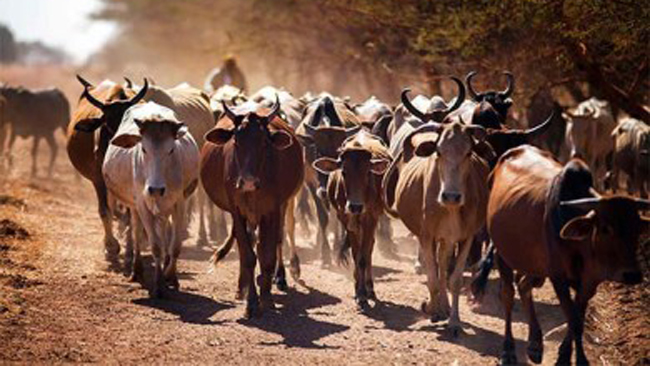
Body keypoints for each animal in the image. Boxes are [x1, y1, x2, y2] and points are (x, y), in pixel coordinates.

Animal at [102, 101, 199, 298]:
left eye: (171, 150)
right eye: (144, 149)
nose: (155, 189)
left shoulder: (179, 203)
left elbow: (174, 245)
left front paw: (171, 277)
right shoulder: (142, 204)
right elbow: (155, 246)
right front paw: (158, 285)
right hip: (135, 206)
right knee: (136, 232)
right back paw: (136, 270)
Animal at [199, 97, 302, 318]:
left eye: (264, 142)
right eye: (236, 141)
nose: (247, 182)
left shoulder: (272, 210)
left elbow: (267, 255)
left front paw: (267, 298)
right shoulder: (237, 211)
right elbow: (248, 256)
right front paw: (252, 302)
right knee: (244, 244)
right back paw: (242, 288)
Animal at [314, 130, 390, 310]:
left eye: (368, 172)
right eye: (343, 172)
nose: (355, 206)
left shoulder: (370, 217)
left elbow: (363, 257)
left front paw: (363, 294)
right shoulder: (346, 218)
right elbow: (356, 255)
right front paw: (358, 292)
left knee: (369, 249)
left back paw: (370, 288)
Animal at [382, 118, 488, 334]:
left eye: (468, 153)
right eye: (438, 152)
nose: (451, 196)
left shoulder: (466, 237)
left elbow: (453, 279)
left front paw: (454, 321)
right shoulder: (426, 236)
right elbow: (432, 278)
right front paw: (431, 308)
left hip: (447, 239)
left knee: (443, 267)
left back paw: (444, 307)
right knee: (437, 268)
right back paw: (437, 307)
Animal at [470, 144, 648, 364]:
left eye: (637, 229)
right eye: (606, 228)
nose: (632, 275)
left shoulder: (589, 283)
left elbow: (577, 318)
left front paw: (564, 355)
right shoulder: (559, 277)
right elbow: (574, 320)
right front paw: (576, 360)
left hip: (533, 265)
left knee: (524, 285)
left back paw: (535, 345)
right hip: (504, 255)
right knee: (508, 295)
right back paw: (509, 350)